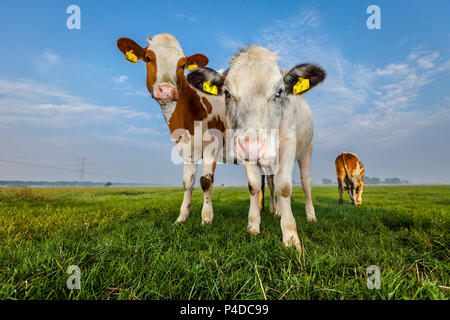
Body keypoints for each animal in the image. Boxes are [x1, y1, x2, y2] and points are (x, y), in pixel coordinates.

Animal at [116, 33, 274, 224]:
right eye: (148, 58)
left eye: (182, 65)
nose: (166, 91)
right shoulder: (187, 150)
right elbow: (187, 182)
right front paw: (181, 217)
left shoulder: (212, 146)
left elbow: (205, 181)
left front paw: (206, 219)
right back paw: (262, 209)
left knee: (271, 180)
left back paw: (275, 210)